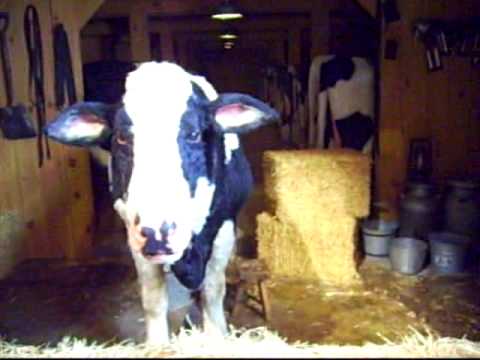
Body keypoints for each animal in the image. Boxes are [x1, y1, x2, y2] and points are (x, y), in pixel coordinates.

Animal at [46, 61, 278, 344]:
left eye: (194, 134)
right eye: (121, 138)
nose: (158, 232)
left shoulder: (224, 225)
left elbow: (213, 292)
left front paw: (216, 337)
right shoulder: (135, 235)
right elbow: (153, 299)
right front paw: (158, 344)